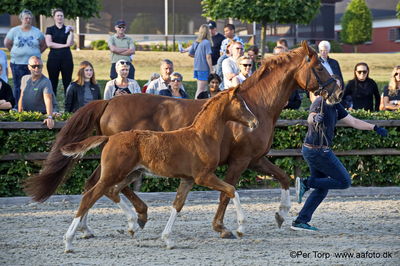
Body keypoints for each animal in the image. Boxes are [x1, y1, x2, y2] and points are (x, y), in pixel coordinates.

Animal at [61, 87, 258, 251]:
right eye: (241, 103)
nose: (255, 122)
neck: (202, 136)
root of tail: (110, 138)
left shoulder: (188, 179)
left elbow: (177, 204)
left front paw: (168, 239)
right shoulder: (203, 177)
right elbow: (231, 190)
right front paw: (240, 228)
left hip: (130, 174)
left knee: (111, 191)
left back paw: (132, 224)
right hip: (114, 173)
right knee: (90, 196)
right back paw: (69, 241)